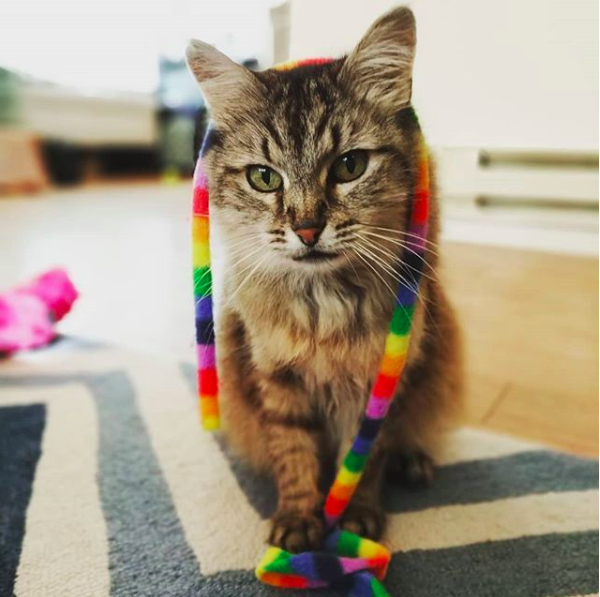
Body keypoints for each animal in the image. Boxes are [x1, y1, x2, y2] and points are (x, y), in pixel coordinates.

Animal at [188, 5, 464, 556]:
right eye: (264, 178)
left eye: (349, 166)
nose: (307, 228)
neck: (323, 305)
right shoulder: (276, 378)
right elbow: (294, 455)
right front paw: (298, 522)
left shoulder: (381, 380)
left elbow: (364, 461)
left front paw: (353, 517)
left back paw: (414, 462)